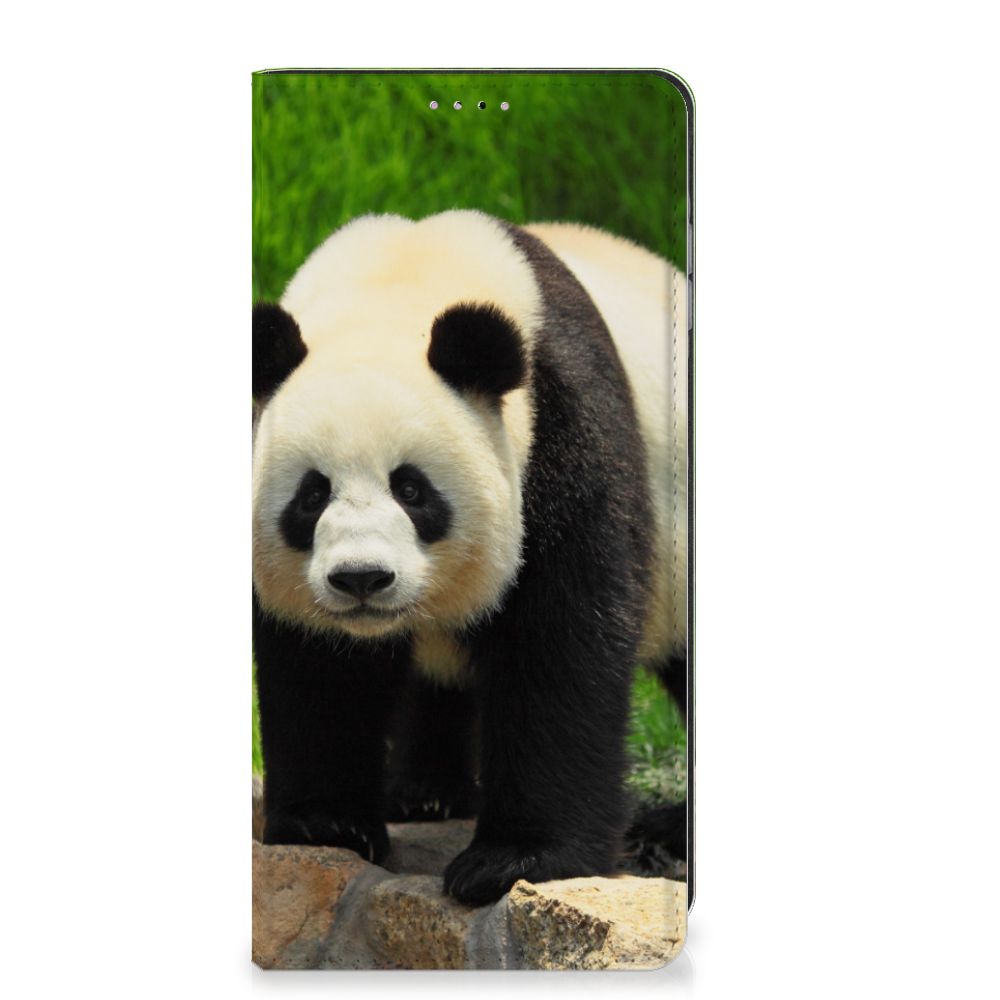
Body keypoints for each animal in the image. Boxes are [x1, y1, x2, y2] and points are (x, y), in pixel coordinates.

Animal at [252, 210, 688, 906]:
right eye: (311, 495)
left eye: (412, 489)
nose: (362, 579)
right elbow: (317, 665)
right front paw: (328, 825)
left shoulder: (563, 429)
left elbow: (560, 641)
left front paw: (514, 860)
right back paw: (425, 794)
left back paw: (666, 831)